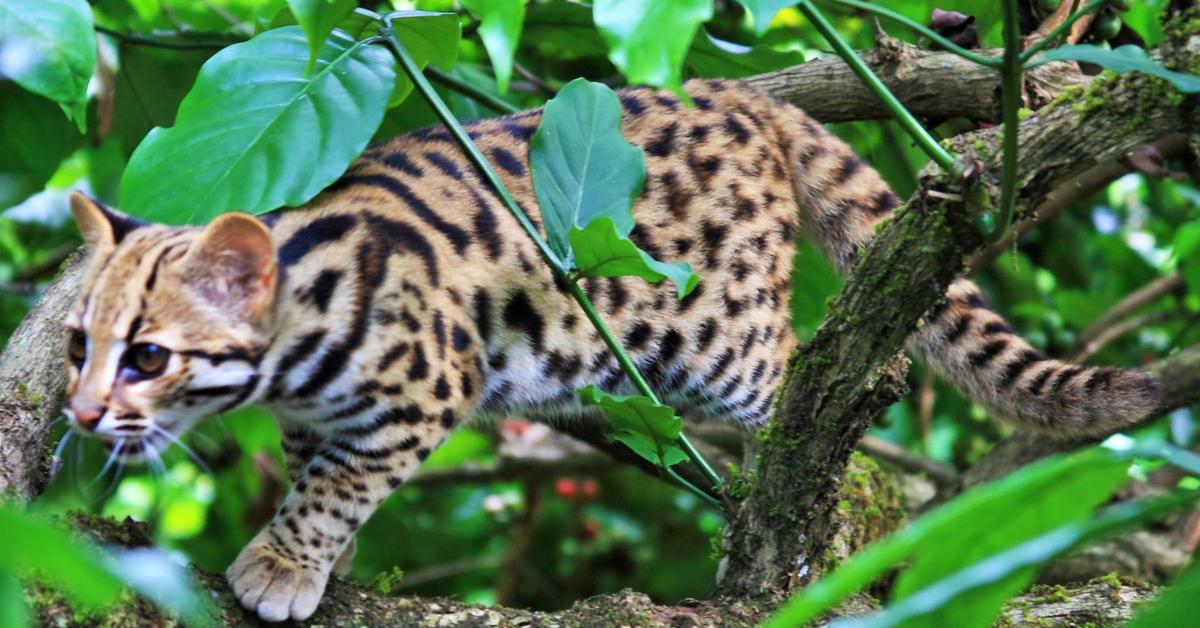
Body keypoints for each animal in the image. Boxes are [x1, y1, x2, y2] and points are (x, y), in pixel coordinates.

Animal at [60, 79, 1156, 624]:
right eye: (77, 345)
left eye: (147, 356)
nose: (77, 412)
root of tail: (739, 93)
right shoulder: (313, 415)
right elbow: (318, 469)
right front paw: (329, 559)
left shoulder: (429, 384)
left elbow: (338, 482)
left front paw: (287, 560)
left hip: (719, 336)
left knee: (819, 396)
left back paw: (830, 519)